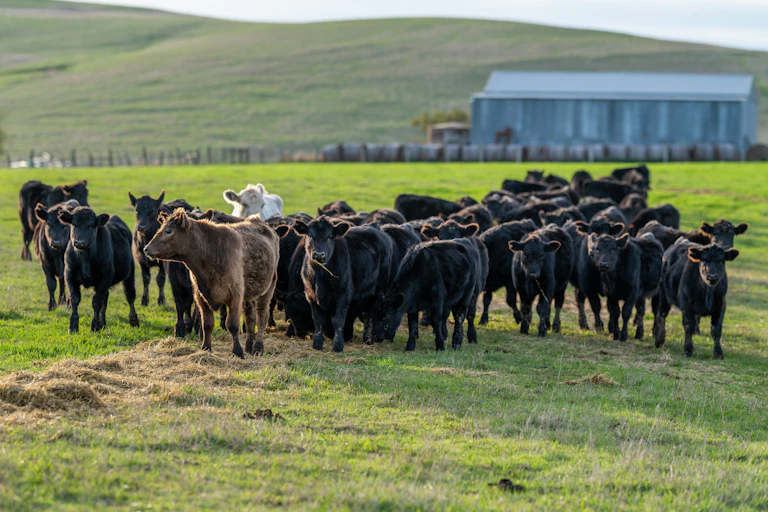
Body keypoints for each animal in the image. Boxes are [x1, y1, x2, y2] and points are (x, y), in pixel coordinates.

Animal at [144, 209, 279, 357]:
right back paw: (249, 346)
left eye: (168, 231)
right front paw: (206, 348)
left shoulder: (235, 296)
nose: (146, 249)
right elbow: (207, 324)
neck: (211, 252)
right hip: (249, 294)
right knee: (250, 317)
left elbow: (232, 325)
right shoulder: (200, 296)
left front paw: (237, 352)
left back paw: (257, 347)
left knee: (261, 317)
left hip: (268, 288)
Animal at [293, 217, 393, 352]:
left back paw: (368, 339)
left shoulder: (342, 295)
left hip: (378, 290)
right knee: (366, 312)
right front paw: (317, 343)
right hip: (364, 292)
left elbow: (337, 320)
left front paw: (338, 345)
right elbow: (317, 320)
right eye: (310, 235)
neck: (320, 277)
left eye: (330, 236)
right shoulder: (311, 295)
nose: (319, 254)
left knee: (371, 314)